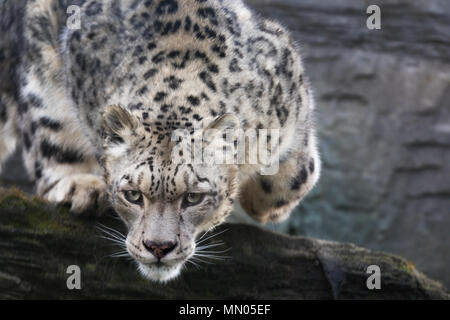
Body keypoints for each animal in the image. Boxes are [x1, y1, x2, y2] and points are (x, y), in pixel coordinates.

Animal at [1, 0, 322, 280]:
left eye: (193, 197)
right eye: (133, 194)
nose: (158, 247)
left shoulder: (291, 92)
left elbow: (291, 178)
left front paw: (264, 204)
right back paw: (81, 187)